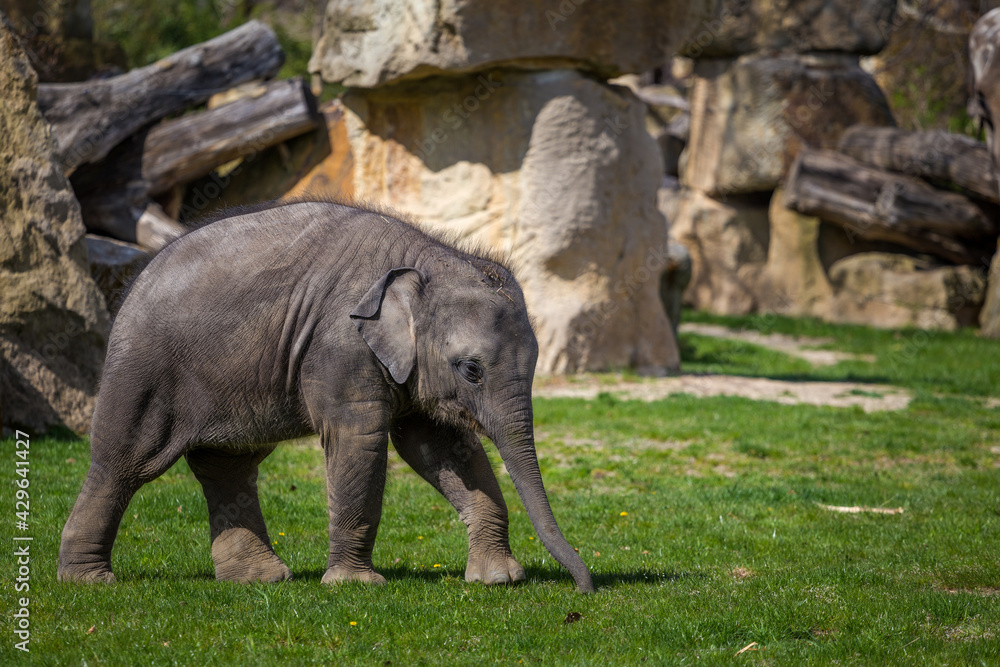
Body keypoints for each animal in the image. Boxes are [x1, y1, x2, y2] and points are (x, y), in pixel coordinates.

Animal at [58, 200, 594, 594]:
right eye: (472, 370)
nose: (584, 588)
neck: (428, 261)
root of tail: (134, 281)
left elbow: (439, 446)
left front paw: (497, 579)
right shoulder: (341, 347)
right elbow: (361, 442)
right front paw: (355, 586)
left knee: (229, 466)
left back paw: (259, 580)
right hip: (143, 367)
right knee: (124, 461)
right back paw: (89, 581)